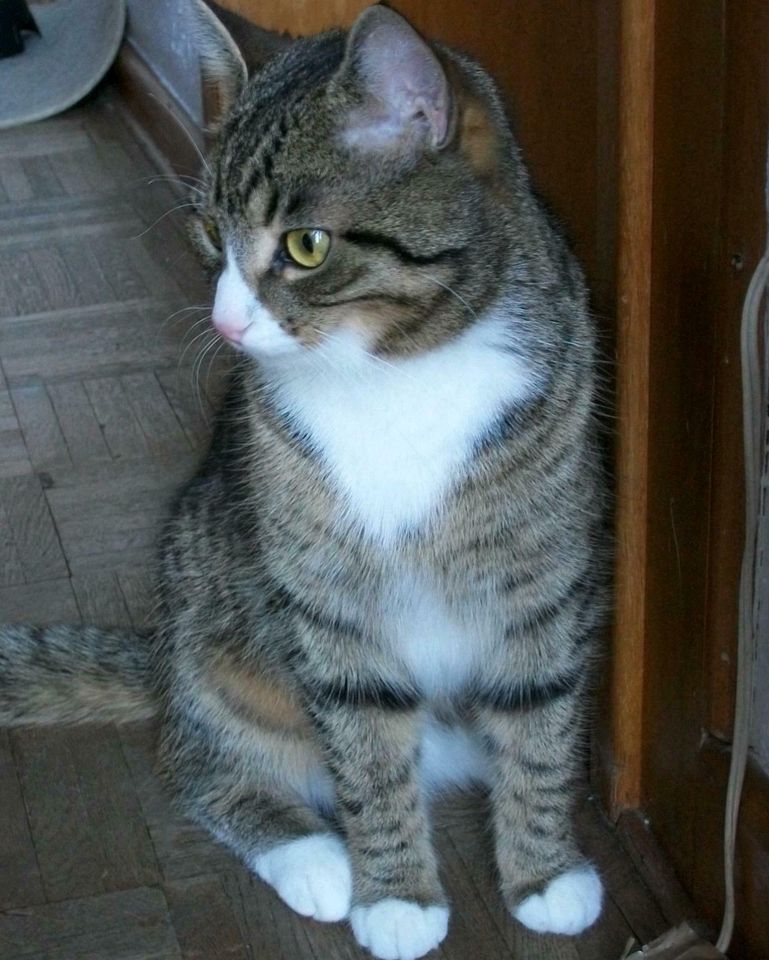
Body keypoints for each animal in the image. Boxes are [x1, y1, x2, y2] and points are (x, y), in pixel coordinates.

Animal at [3, 3, 608, 956]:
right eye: (209, 234)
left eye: (305, 246)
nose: (223, 322)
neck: (395, 370)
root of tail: (162, 655)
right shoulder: (324, 590)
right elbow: (362, 740)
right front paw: (396, 896)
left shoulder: (541, 573)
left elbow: (540, 720)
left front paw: (544, 874)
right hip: (216, 637)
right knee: (200, 762)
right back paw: (313, 855)